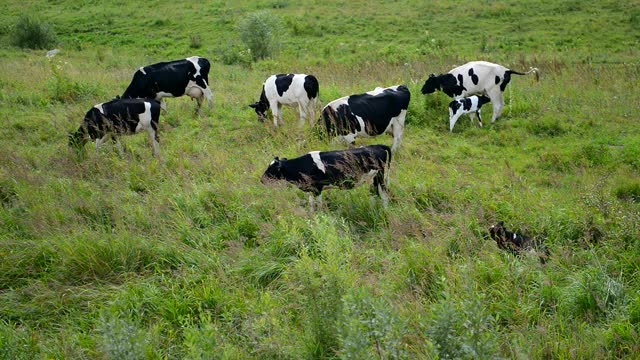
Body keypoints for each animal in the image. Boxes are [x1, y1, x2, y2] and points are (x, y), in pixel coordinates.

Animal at [260, 144, 390, 210]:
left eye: (272, 169)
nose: (261, 180)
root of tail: (377, 146)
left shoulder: (317, 189)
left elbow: (318, 204)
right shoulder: (310, 189)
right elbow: (311, 205)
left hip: (380, 176)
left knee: (383, 195)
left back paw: (385, 211)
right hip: (373, 178)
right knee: (374, 193)